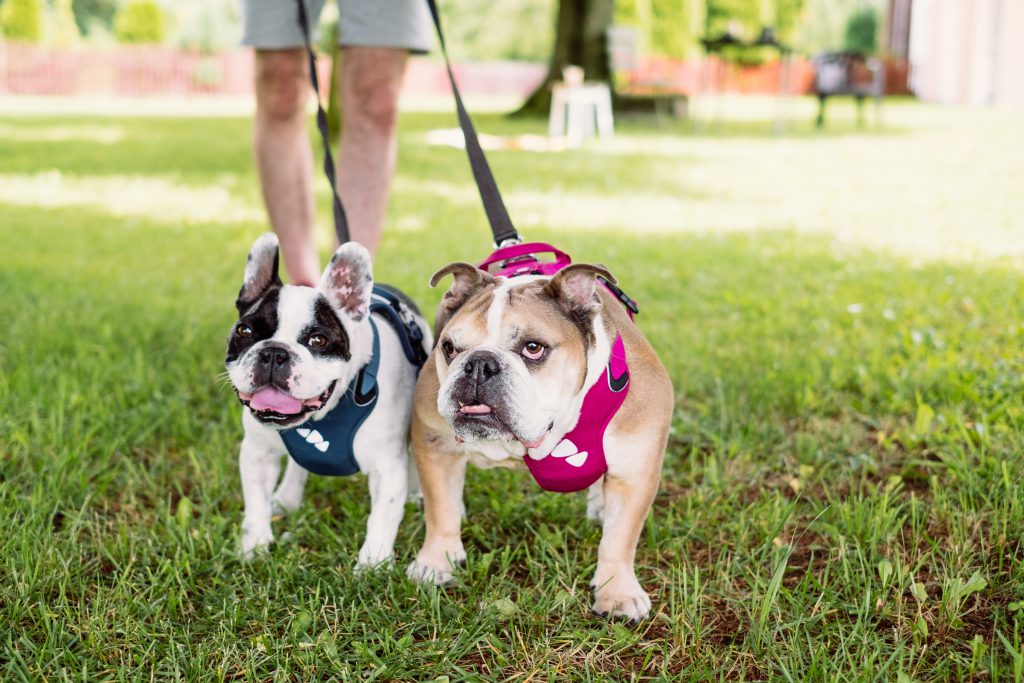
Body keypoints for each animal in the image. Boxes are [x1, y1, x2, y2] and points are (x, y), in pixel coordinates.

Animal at [226, 235, 430, 565]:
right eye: (245, 331)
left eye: (318, 340)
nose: (274, 352)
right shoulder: (257, 453)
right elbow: (256, 505)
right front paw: (253, 549)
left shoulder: (386, 467)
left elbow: (382, 517)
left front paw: (373, 565)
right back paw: (287, 498)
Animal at [403, 260, 675, 618]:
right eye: (449, 348)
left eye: (533, 348)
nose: (479, 363)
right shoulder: (435, 446)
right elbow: (440, 511)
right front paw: (435, 563)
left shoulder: (635, 473)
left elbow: (619, 538)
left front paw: (617, 592)